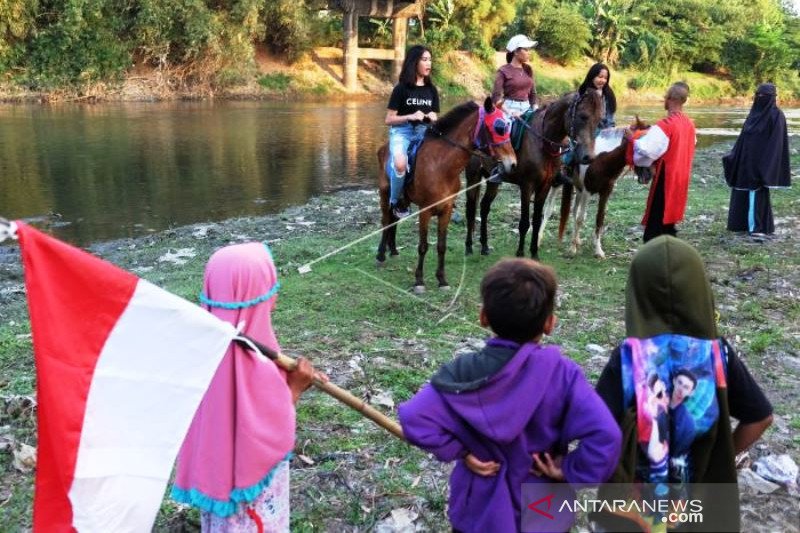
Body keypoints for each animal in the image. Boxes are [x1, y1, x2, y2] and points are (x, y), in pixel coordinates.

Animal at [376, 97, 516, 294]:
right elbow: (423, 246)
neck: (441, 166)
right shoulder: (425, 211)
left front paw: (442, 280)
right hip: (384, 195)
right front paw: (419, 281)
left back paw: (393, 250)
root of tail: (383, 148)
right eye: (499, 127)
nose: (512, 163)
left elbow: (441, 246)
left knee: (394, 220)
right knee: (386, 221)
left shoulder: (447, 210)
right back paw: (381, 255)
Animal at [462, 91, 600, 258]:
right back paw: (469, 247)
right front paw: (520, 253)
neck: (542, 142)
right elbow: (524, 222)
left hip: (493, 181)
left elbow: (536, 221)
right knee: (470, 209)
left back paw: (484, 246)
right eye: (582, 116)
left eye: (599, 120)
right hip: (473, 176)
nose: (588, 157)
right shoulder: (527, 186)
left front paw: (534, 253)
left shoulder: (545, 186)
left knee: (484, 207)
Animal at [556, 117, 648, 258]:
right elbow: (580, 219)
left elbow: (599, 219)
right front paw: (572, 249)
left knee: (574, 210)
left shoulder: (605, 192)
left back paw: (577, 240)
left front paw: (598, 250)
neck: (602, 159)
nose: (647, 176)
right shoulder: (587, 192)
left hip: (578, 190)